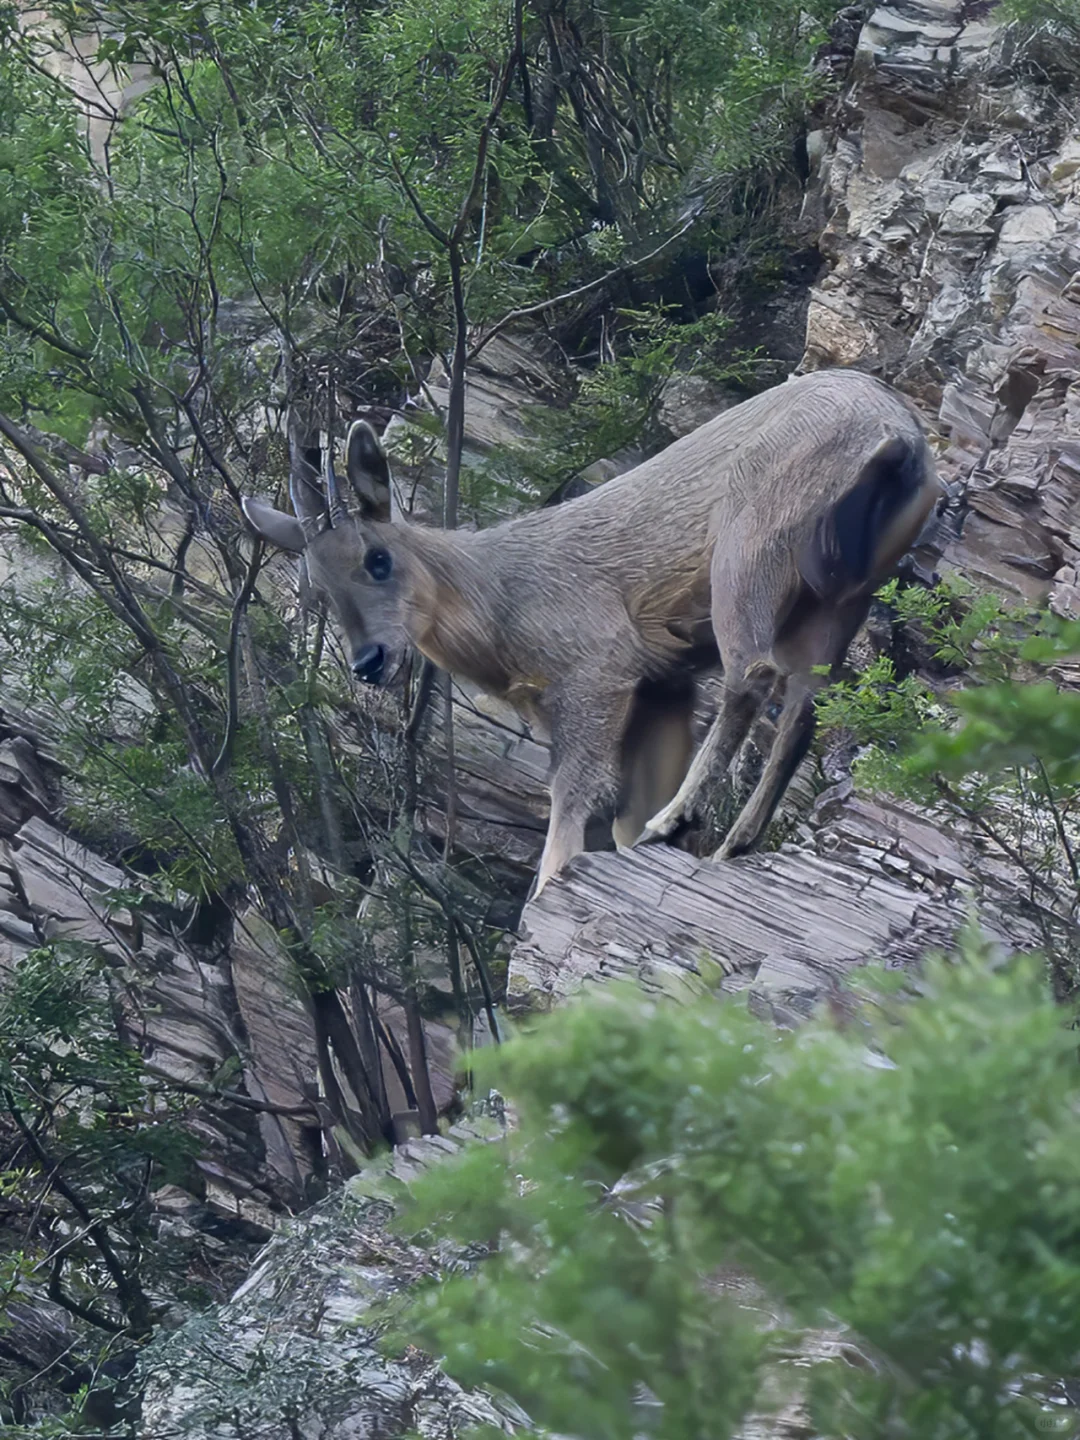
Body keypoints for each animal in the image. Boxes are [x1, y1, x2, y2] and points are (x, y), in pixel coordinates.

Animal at [240, 365, 944, 892]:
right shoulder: (660, 683)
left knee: (755, 672)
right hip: (844, 597)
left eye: (378, 559)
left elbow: (575, 797)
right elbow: (626, 803)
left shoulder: (598, 667)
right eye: (319, 588)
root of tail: (898, 439)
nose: (369, 661)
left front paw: (554, 881)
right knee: (806, 708)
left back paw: (680, 822)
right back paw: (734, 844)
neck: (501, 601)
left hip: (751, 550)